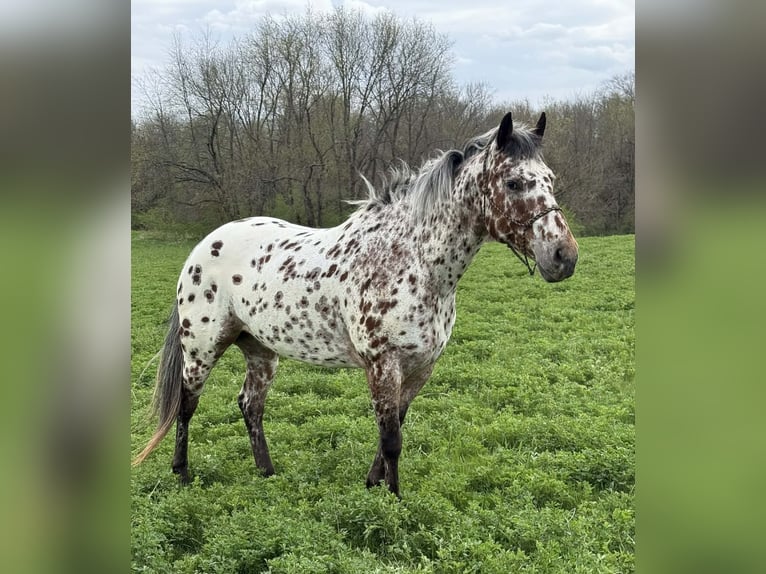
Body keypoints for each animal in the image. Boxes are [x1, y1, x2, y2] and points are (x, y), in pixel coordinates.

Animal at [133, 112, 579, 497]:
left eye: (550, 179)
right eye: (513, 183)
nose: (564, 256)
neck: (413, 261)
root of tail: (205, 244)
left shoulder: (420, 369)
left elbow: (392, 429)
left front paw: (373, 484)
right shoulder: (383, 365)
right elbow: (392, 438)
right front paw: (394, 501)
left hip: (260, 349)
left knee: (250, 406)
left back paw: (267, 473)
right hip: (202, 348)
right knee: (187, 405)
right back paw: (182, 472)